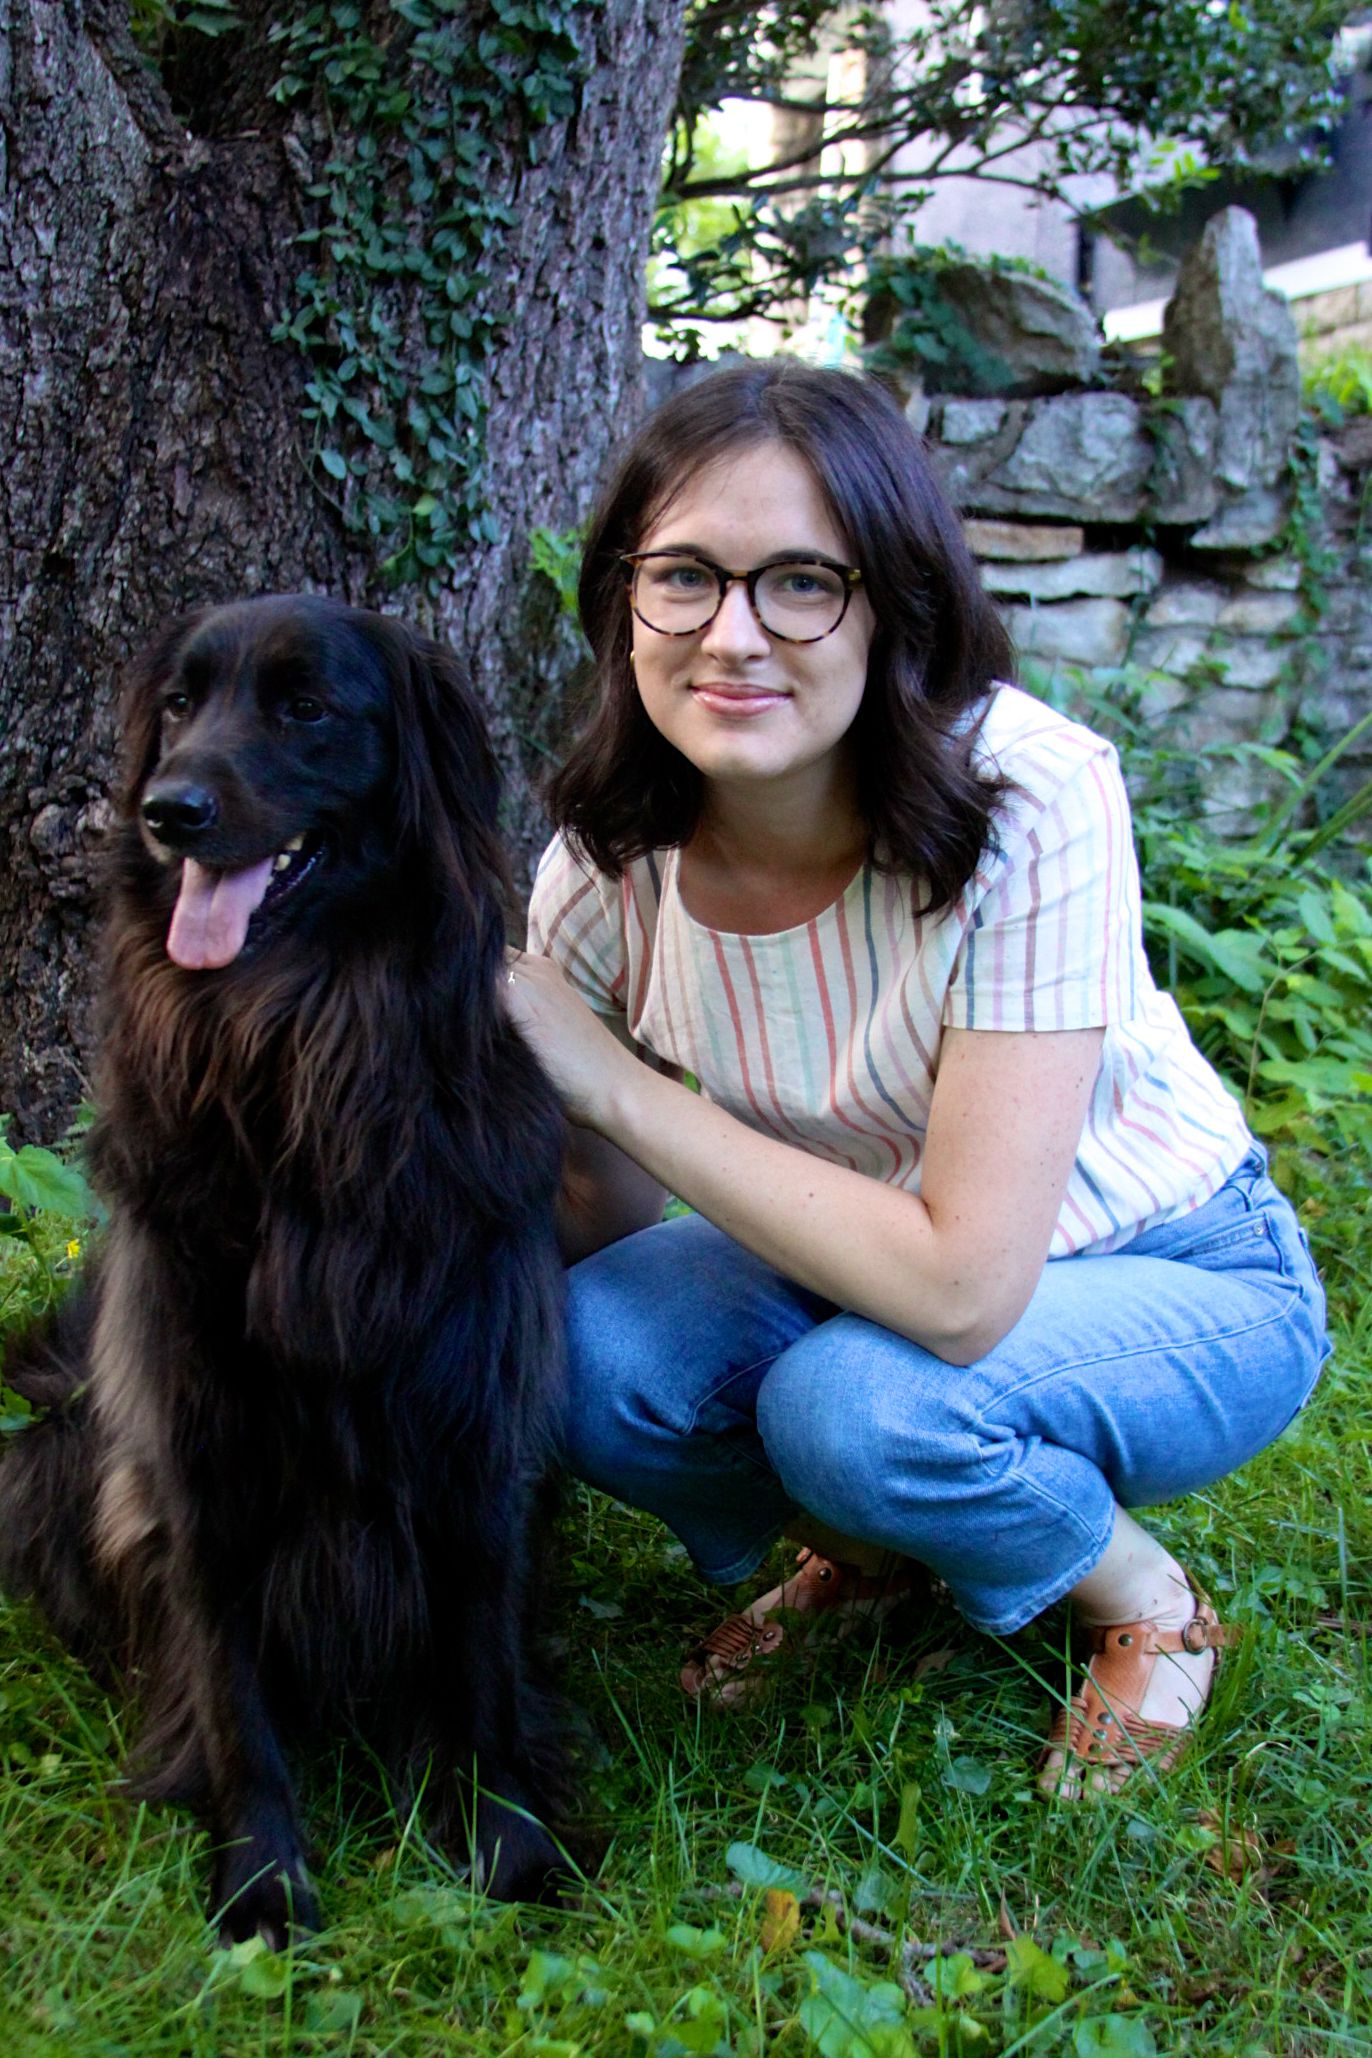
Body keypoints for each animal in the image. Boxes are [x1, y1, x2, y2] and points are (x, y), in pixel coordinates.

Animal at [0, 596, 567, 1942]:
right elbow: (228, 1687)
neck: (297, 1052)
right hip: (52, 1441)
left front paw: (504, 1844)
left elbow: (480, 1653)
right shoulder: (195, 1442)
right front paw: (261, 1880)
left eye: (305, 706)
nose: (169, 810)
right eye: (179, 706)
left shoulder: (475, 1424)